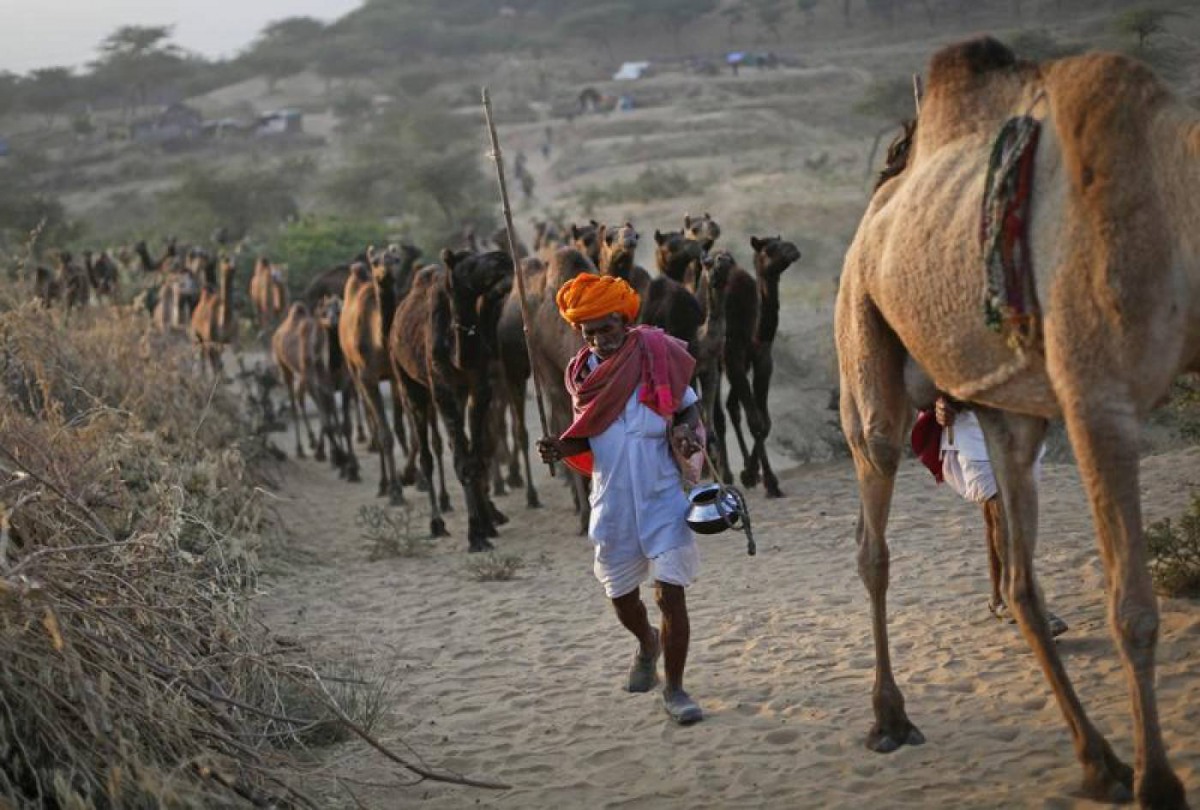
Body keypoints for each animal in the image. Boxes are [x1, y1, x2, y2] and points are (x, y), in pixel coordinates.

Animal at [389, 249, 514, 551]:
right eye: (466, 264)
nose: (503, 257)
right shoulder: (444, 389)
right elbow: (462, 462)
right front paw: (475, 535)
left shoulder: (478, 387)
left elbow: (475, 457)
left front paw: (485, 526)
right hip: (409, 385)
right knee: (426, 455)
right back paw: (436, 523)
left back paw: (489, 516)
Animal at [723, 235, 801, 498]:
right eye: (768, 249)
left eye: (783, 241)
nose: (793, 249)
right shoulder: (733, 357)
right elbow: (755, 421)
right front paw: (769, 481)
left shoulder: (762, 360)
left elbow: (764, 422)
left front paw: (754, 474)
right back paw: (723, 473)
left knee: (731, 406)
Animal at [835, 37, 1199, 807]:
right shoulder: (1098, 398)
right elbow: (1133, 607)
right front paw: (1160, 783)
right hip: (864, 343)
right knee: (873, 527)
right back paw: (890, 718)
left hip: (1009, 413)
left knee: (1020, 577)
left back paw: (1098, 761)